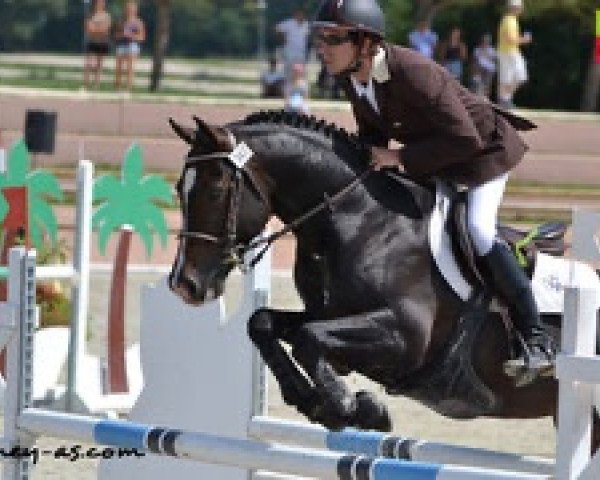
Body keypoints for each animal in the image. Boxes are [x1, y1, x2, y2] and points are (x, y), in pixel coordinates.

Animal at [165, 110, 600, 440]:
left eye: (215, 191)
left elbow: (307, 339)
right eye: (178, 188)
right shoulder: (329, 314)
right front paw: (317, 402)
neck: (357, 219)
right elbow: (263, 323)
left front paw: (349, 407)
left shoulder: (405, 336)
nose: (184, 285)